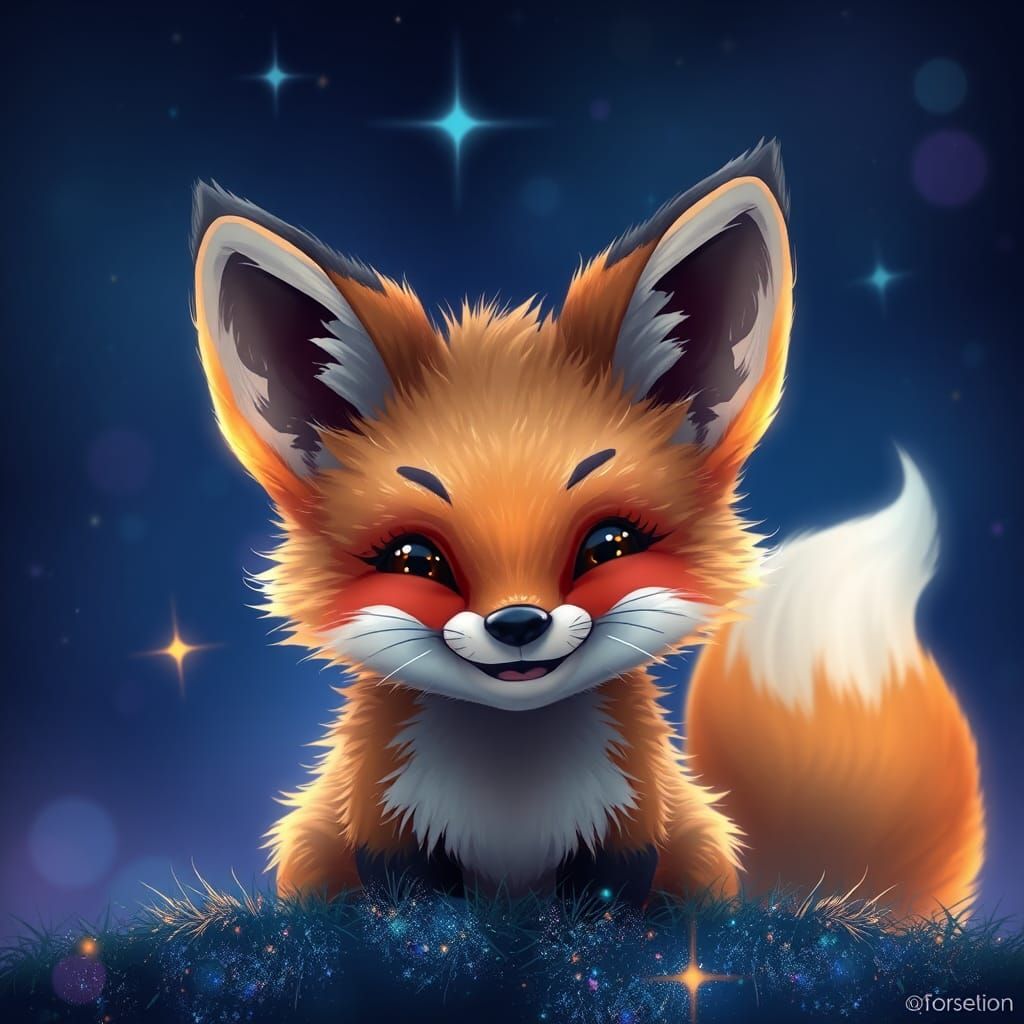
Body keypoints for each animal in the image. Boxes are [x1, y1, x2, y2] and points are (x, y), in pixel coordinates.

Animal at [190, 140, 984, 918]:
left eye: (610, 544)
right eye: (414, 558)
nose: (517, 623)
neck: (511, 792)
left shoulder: (629, 829)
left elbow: (604, 912)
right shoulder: (386, 831)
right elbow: (416, 912)